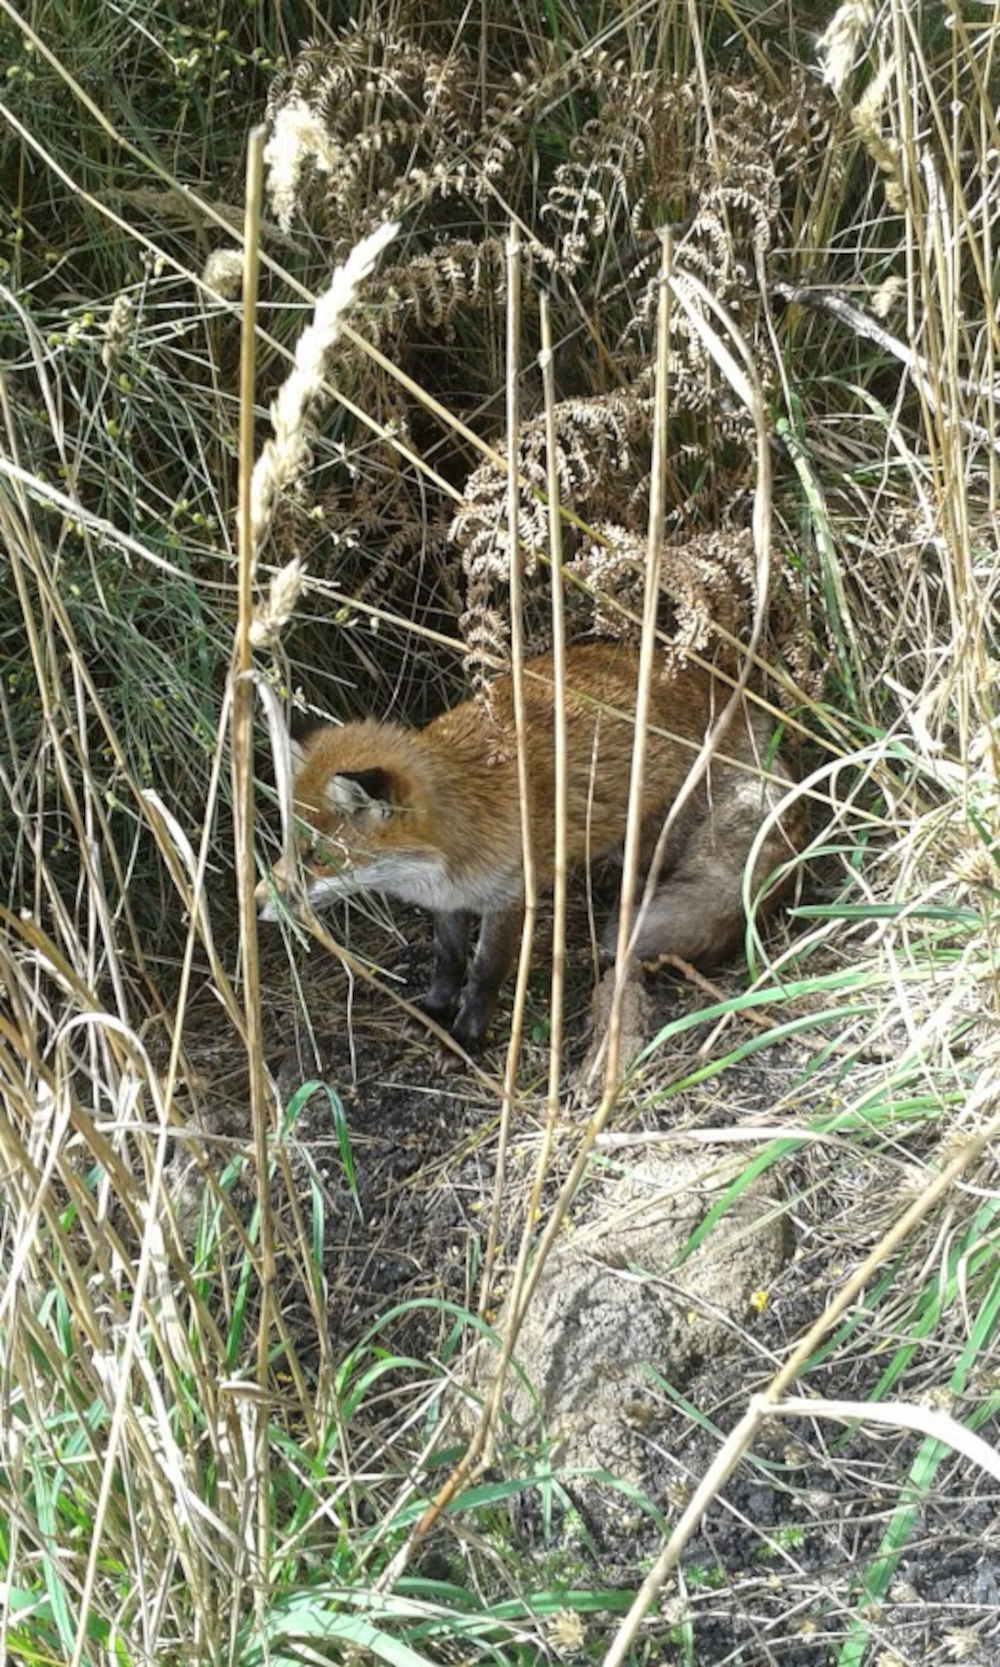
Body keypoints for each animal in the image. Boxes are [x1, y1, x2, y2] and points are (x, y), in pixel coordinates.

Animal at [258, 643, 803, 1046]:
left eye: (317, 857)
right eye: (285, 845)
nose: (259, 899)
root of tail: (734, 700)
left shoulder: (511, 899)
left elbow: (485, 972)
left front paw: (466, 1038)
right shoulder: (449, 902)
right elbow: (447, 960)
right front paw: (435, 1012)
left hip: (643, 841)